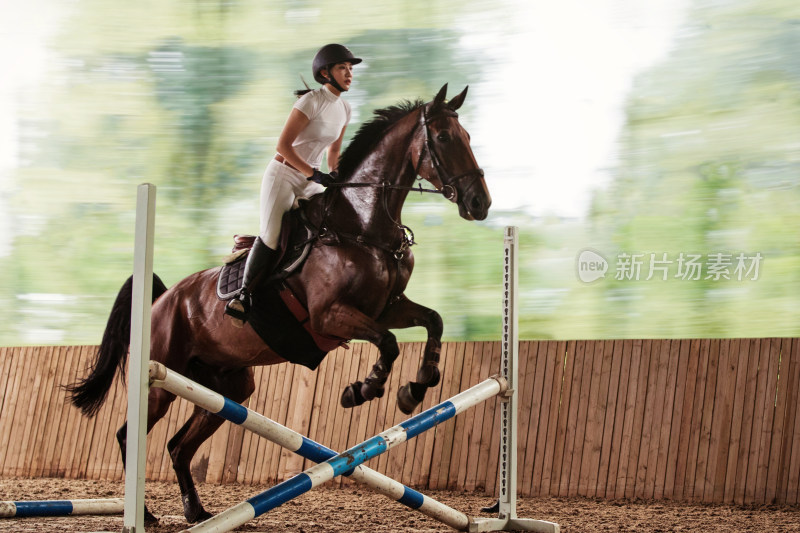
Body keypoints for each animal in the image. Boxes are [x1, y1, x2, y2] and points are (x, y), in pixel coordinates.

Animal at [69, 84, 490, 524]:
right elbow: (388, 343)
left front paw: (417, 385)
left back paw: (196, 511)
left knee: (179, 446)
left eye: (467, 137)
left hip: (227, 388)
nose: (480, 203)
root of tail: (162, 300)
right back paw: (147, 515)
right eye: (444, 137)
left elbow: (433, 321)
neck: (362, 226)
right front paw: (363, 388)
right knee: (128, 435)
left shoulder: (387, 307)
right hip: (161, 382)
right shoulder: (329, 316)